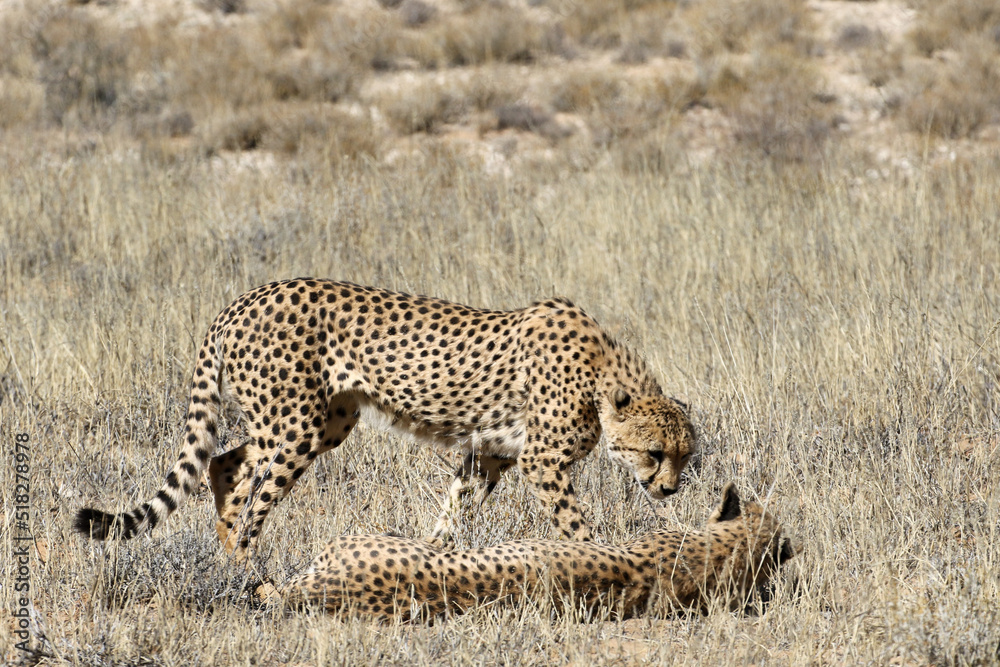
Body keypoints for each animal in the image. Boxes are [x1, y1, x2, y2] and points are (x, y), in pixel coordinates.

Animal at [74, 279, 696, 560]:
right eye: (655, 454)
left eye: (685, 456)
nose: (669, 489)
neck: (603, 375)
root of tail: (245, 297)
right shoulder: (541, 463)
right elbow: (575, 526)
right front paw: (603, 563)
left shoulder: (488, 455)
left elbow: (453, 514)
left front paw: (431, 562)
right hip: (295, 425)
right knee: (251, 487)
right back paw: (244, 563)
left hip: (320, 422)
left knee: (226, 461)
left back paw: (228, 547)